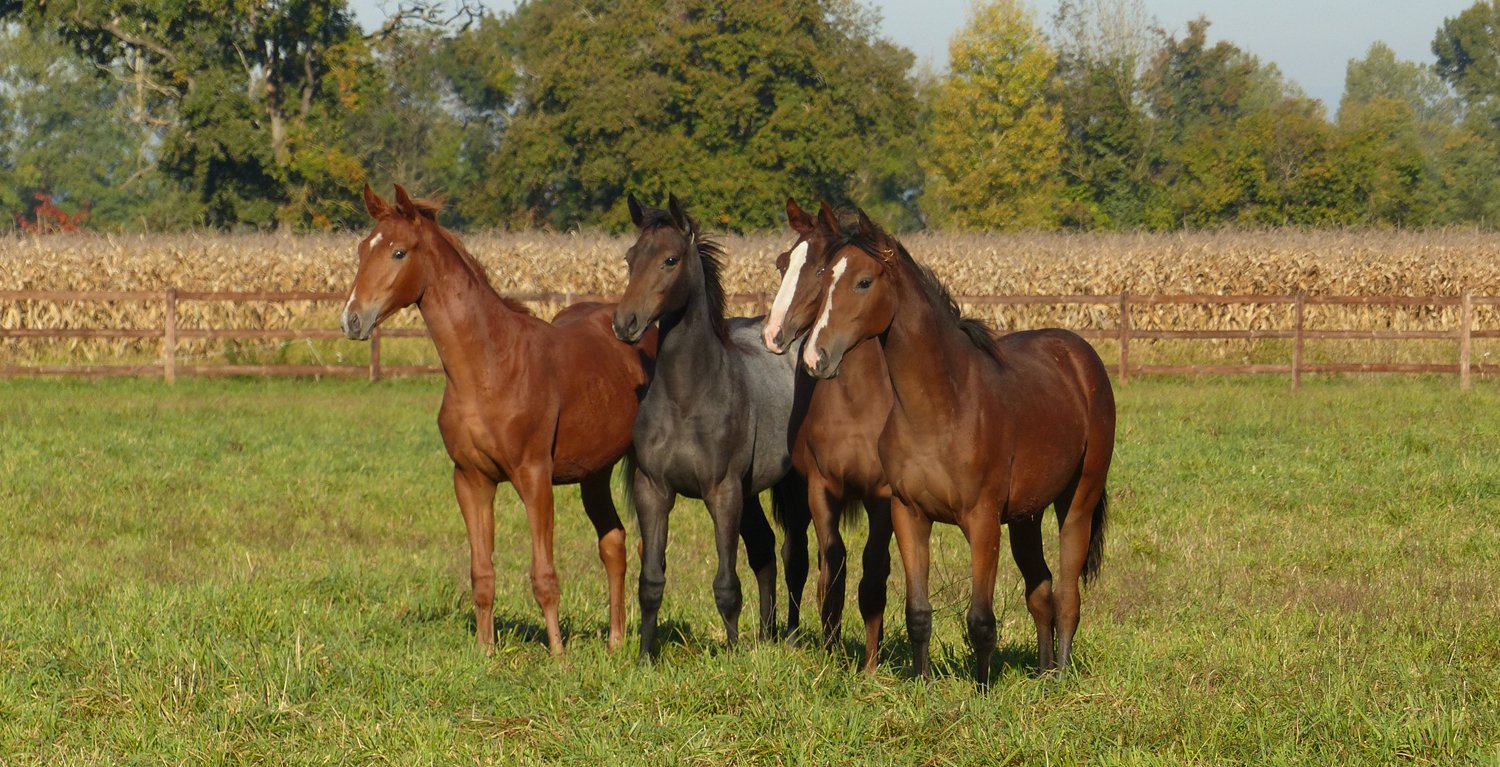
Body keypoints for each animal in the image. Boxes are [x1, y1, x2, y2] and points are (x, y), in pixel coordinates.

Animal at [341, 184, 657, 655]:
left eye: (398, 252)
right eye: (363, 249)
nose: (352, 319)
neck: (490, 367)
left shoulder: (534, 477)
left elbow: (544, 575)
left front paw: (559, 656)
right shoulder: (472, 480)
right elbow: (482, 574)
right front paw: (485, 652)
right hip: (594, 473)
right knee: (613, 542)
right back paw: (615, 642)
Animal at [611, 194, 812, 662]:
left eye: (670, 259)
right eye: (630, 258)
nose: (625, 323)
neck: (688, 398)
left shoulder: (722, 492)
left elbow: (726, 584)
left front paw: (734, 656)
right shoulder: (654, 490)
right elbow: (651, 582)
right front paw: (646, 657)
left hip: (791, 486)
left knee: (794, 557)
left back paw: (790, 637)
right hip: (751, 492)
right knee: (764, 552)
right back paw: (766, 634)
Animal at [760, 199, 895, 674]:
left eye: (819, 268)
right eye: (783, 263)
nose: (773, 334)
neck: (857, 405)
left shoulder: (884, 495)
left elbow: (875, 569)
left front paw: (871, 663)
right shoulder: (821, 488)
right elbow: (831, 567)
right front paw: (832, 649)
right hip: (796, 494)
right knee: (797, 558)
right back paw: (795, 636)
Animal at [800, 206, 1115, 685]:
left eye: (863, 282)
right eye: (823, 276)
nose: (815, 358)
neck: (942, 408)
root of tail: (1081, 357)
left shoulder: (982, 522)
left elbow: (981, 619)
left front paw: (982, 690)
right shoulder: (909, 516)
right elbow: (917, 612)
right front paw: (922, 683)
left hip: (1077, 503)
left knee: (1067, 595)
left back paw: (1060, 676)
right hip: (1026, 516)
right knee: (1041, 590)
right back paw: (1042, 674)